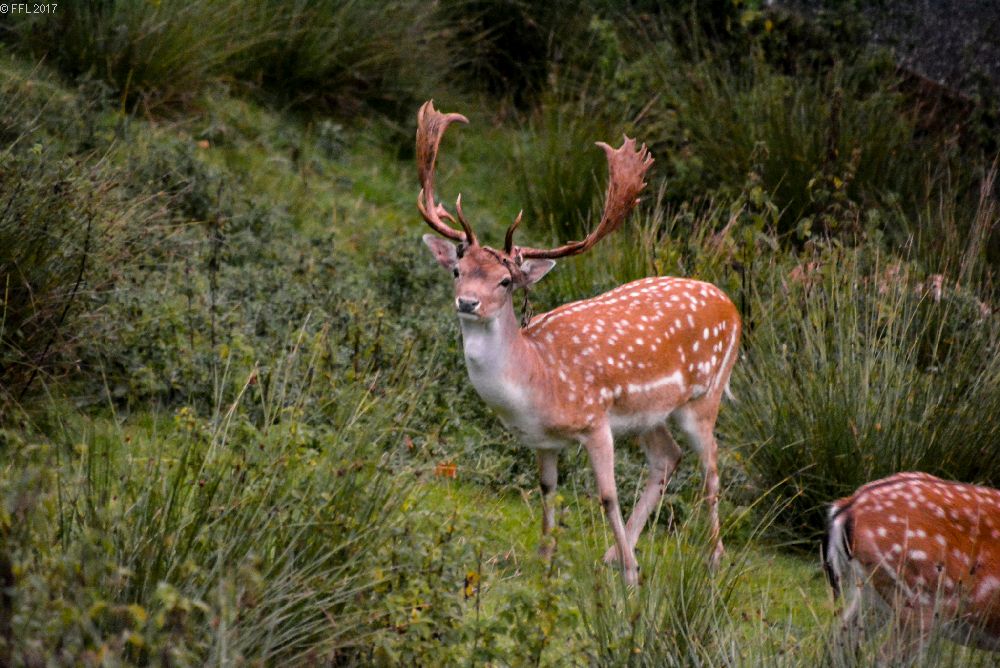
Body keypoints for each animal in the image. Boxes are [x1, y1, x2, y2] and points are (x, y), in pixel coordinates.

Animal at [416, 101, 741, 584]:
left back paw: (711, 559)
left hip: (706, 395)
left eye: (506, 281)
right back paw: (614, 553)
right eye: (458, 270)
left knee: (712, 467)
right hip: (649, 414)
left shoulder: (595, 419)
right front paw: (546, 559)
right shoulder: (543, 441)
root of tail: (732, 304)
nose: (468, 302)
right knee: (668, 458)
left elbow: (607, 496)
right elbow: (548, 489)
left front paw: (631, 579)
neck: (539, 379)